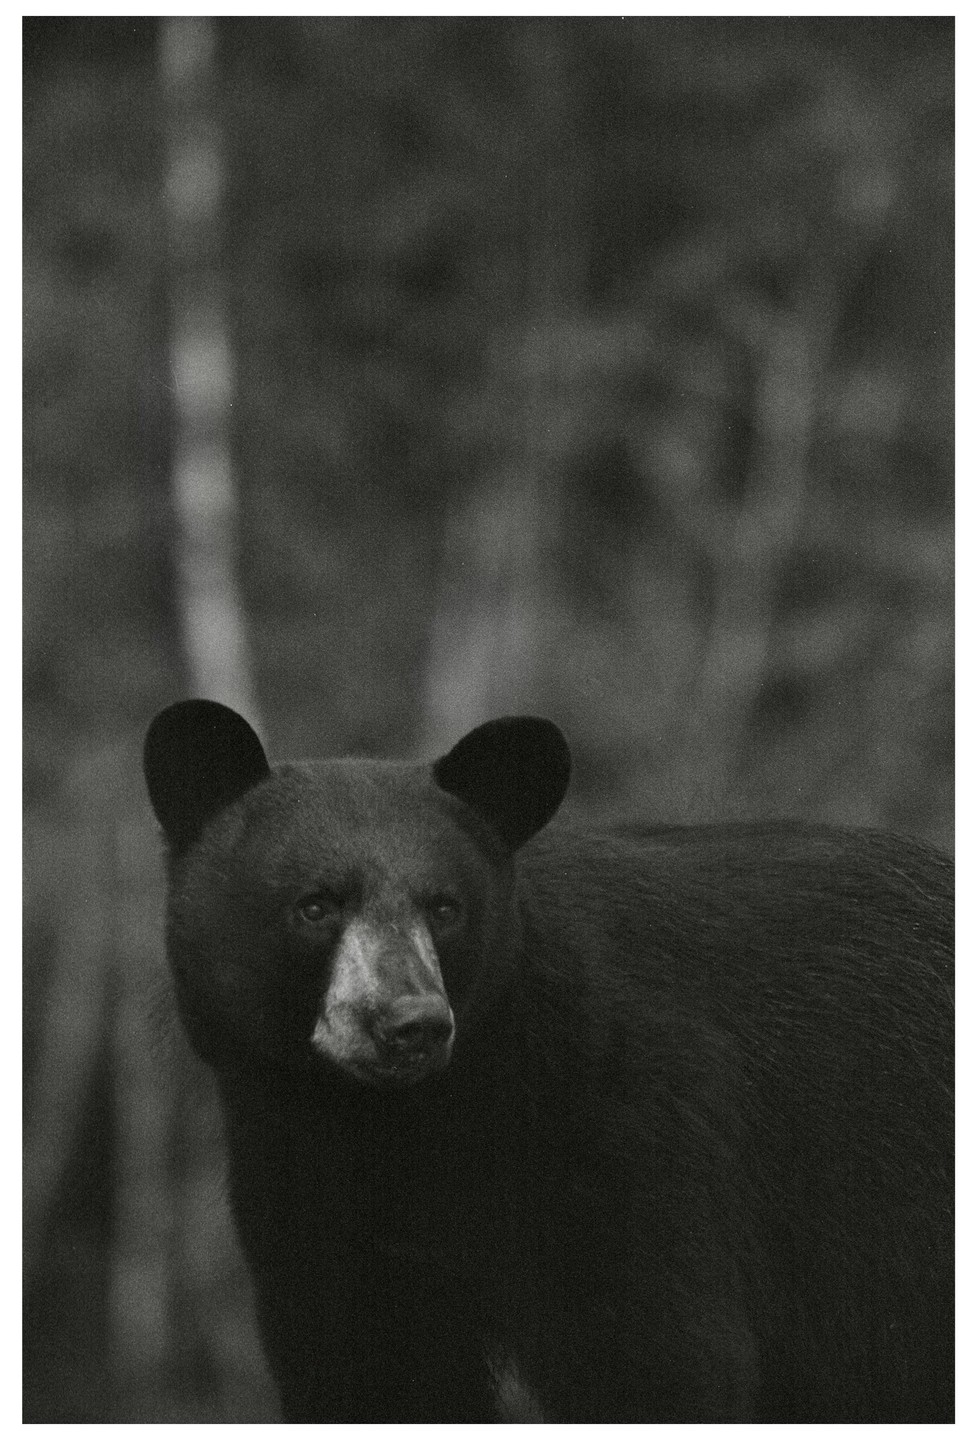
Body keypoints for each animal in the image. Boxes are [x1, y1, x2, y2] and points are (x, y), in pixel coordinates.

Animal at [143, 698, 953, 1423]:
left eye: (445, 907)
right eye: (315, 905)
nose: (411, 1025)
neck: (409, 1119)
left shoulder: (624, 1129)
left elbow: (651, 1351)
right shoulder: (302, 1173)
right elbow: (373, 1365)